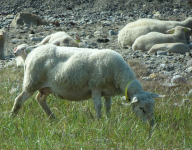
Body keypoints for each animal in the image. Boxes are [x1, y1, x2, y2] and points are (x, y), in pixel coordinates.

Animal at [9, 44, 164, 124]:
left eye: (153, 107)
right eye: (142, 108)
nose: (151, 125)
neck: (119, 74)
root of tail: (31, 54)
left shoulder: (107, 92)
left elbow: (108, 106)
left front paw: (108, 120)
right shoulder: (95, 87)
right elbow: (98, 106)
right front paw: (99, 121)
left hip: (46, 87)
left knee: (40, 99)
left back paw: (52, 118)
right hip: (32, 81)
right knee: (19, 99)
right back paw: (11, 117)